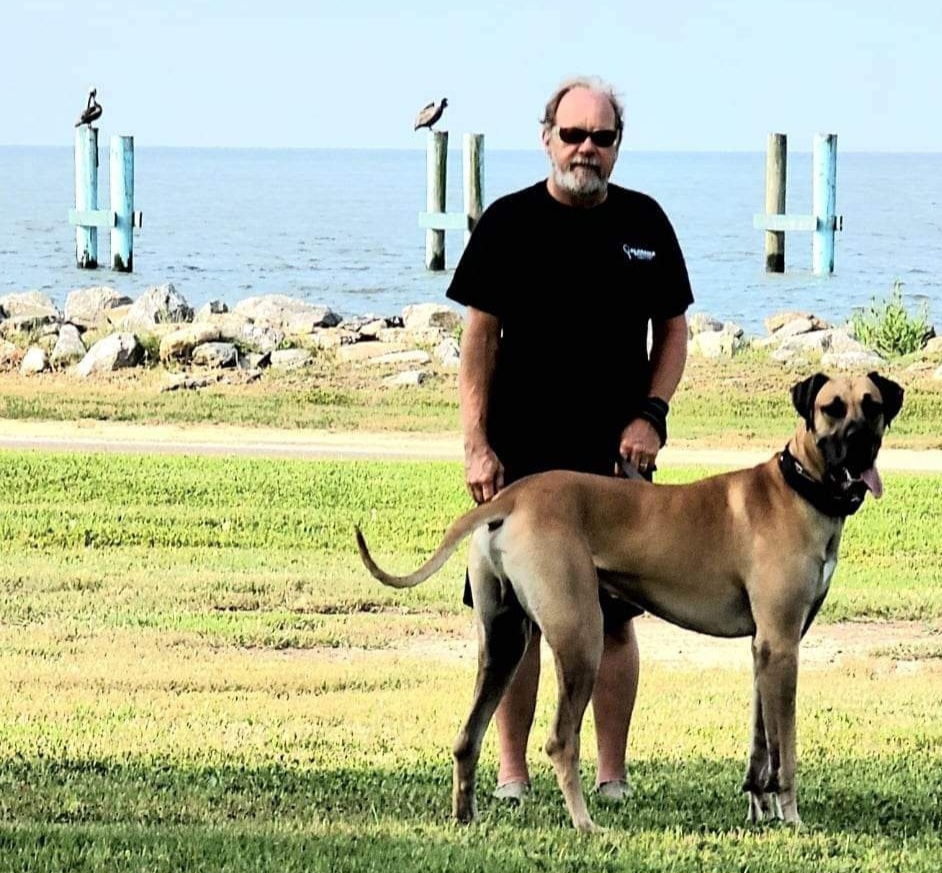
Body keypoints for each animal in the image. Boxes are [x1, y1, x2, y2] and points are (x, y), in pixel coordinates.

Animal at [356, 372, 903, 831]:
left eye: (872, 406)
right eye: (832, 408)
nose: (862, 444)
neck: (800, 486)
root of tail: (511, 496)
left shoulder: (764, 649)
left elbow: (760, 742)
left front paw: (759, 808)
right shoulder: (784, 645)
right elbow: (785, 747)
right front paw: (790, 817)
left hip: (502, 641)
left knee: (467, 736)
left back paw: (466, 816)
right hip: (580, 636)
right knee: (560, 739)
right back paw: (585, 824)